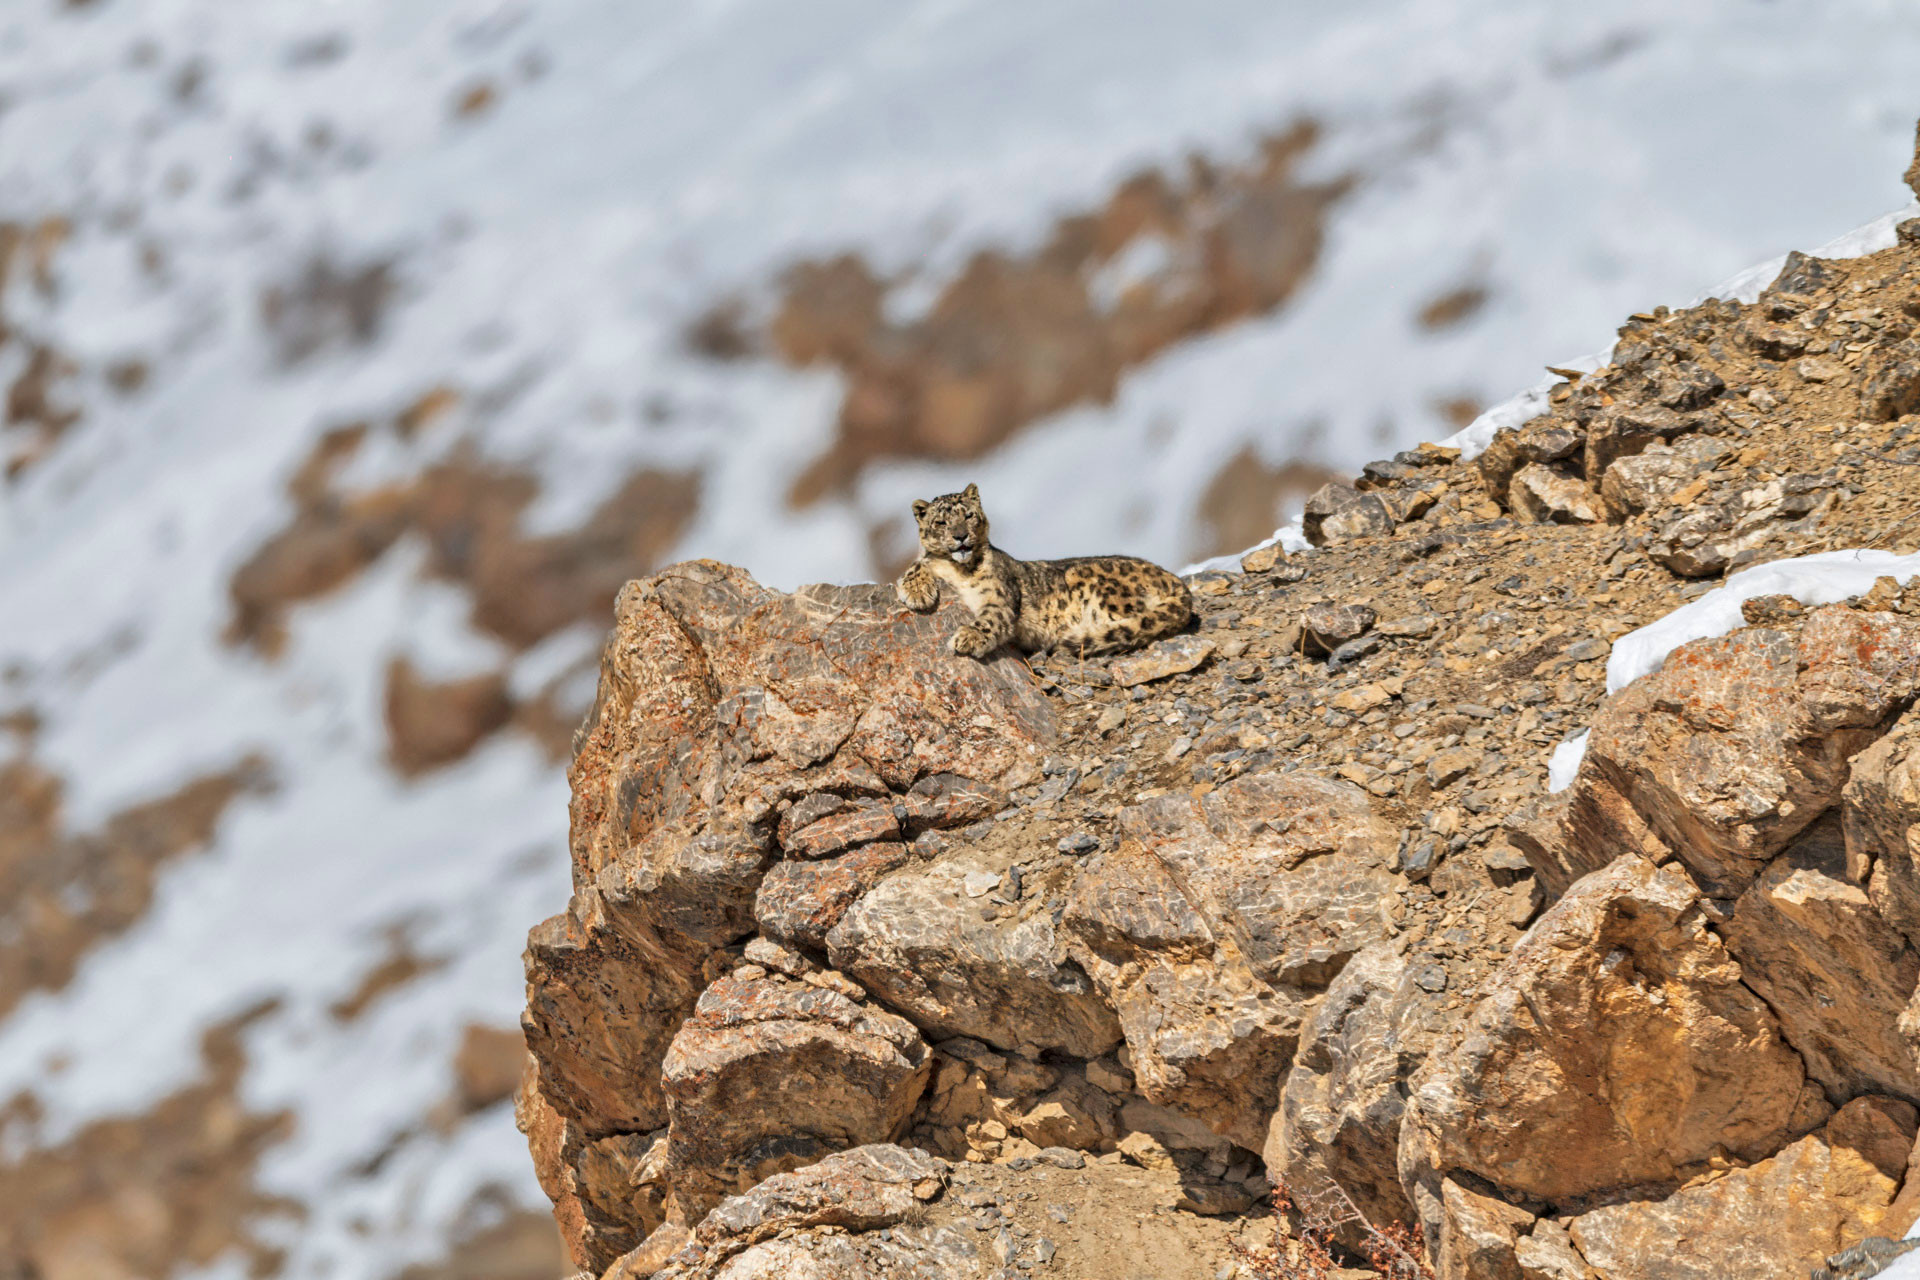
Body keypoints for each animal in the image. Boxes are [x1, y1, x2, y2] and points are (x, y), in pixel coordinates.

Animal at [895, 483, 1194, 658]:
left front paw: (967, 637)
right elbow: (919, 563)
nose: (960, 536)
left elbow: (990, 618)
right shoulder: (933, 563)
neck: (960, 569)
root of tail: (1171, 578)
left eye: (968, 515)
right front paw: (917, 592)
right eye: (941, 522)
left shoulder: (999, 596)